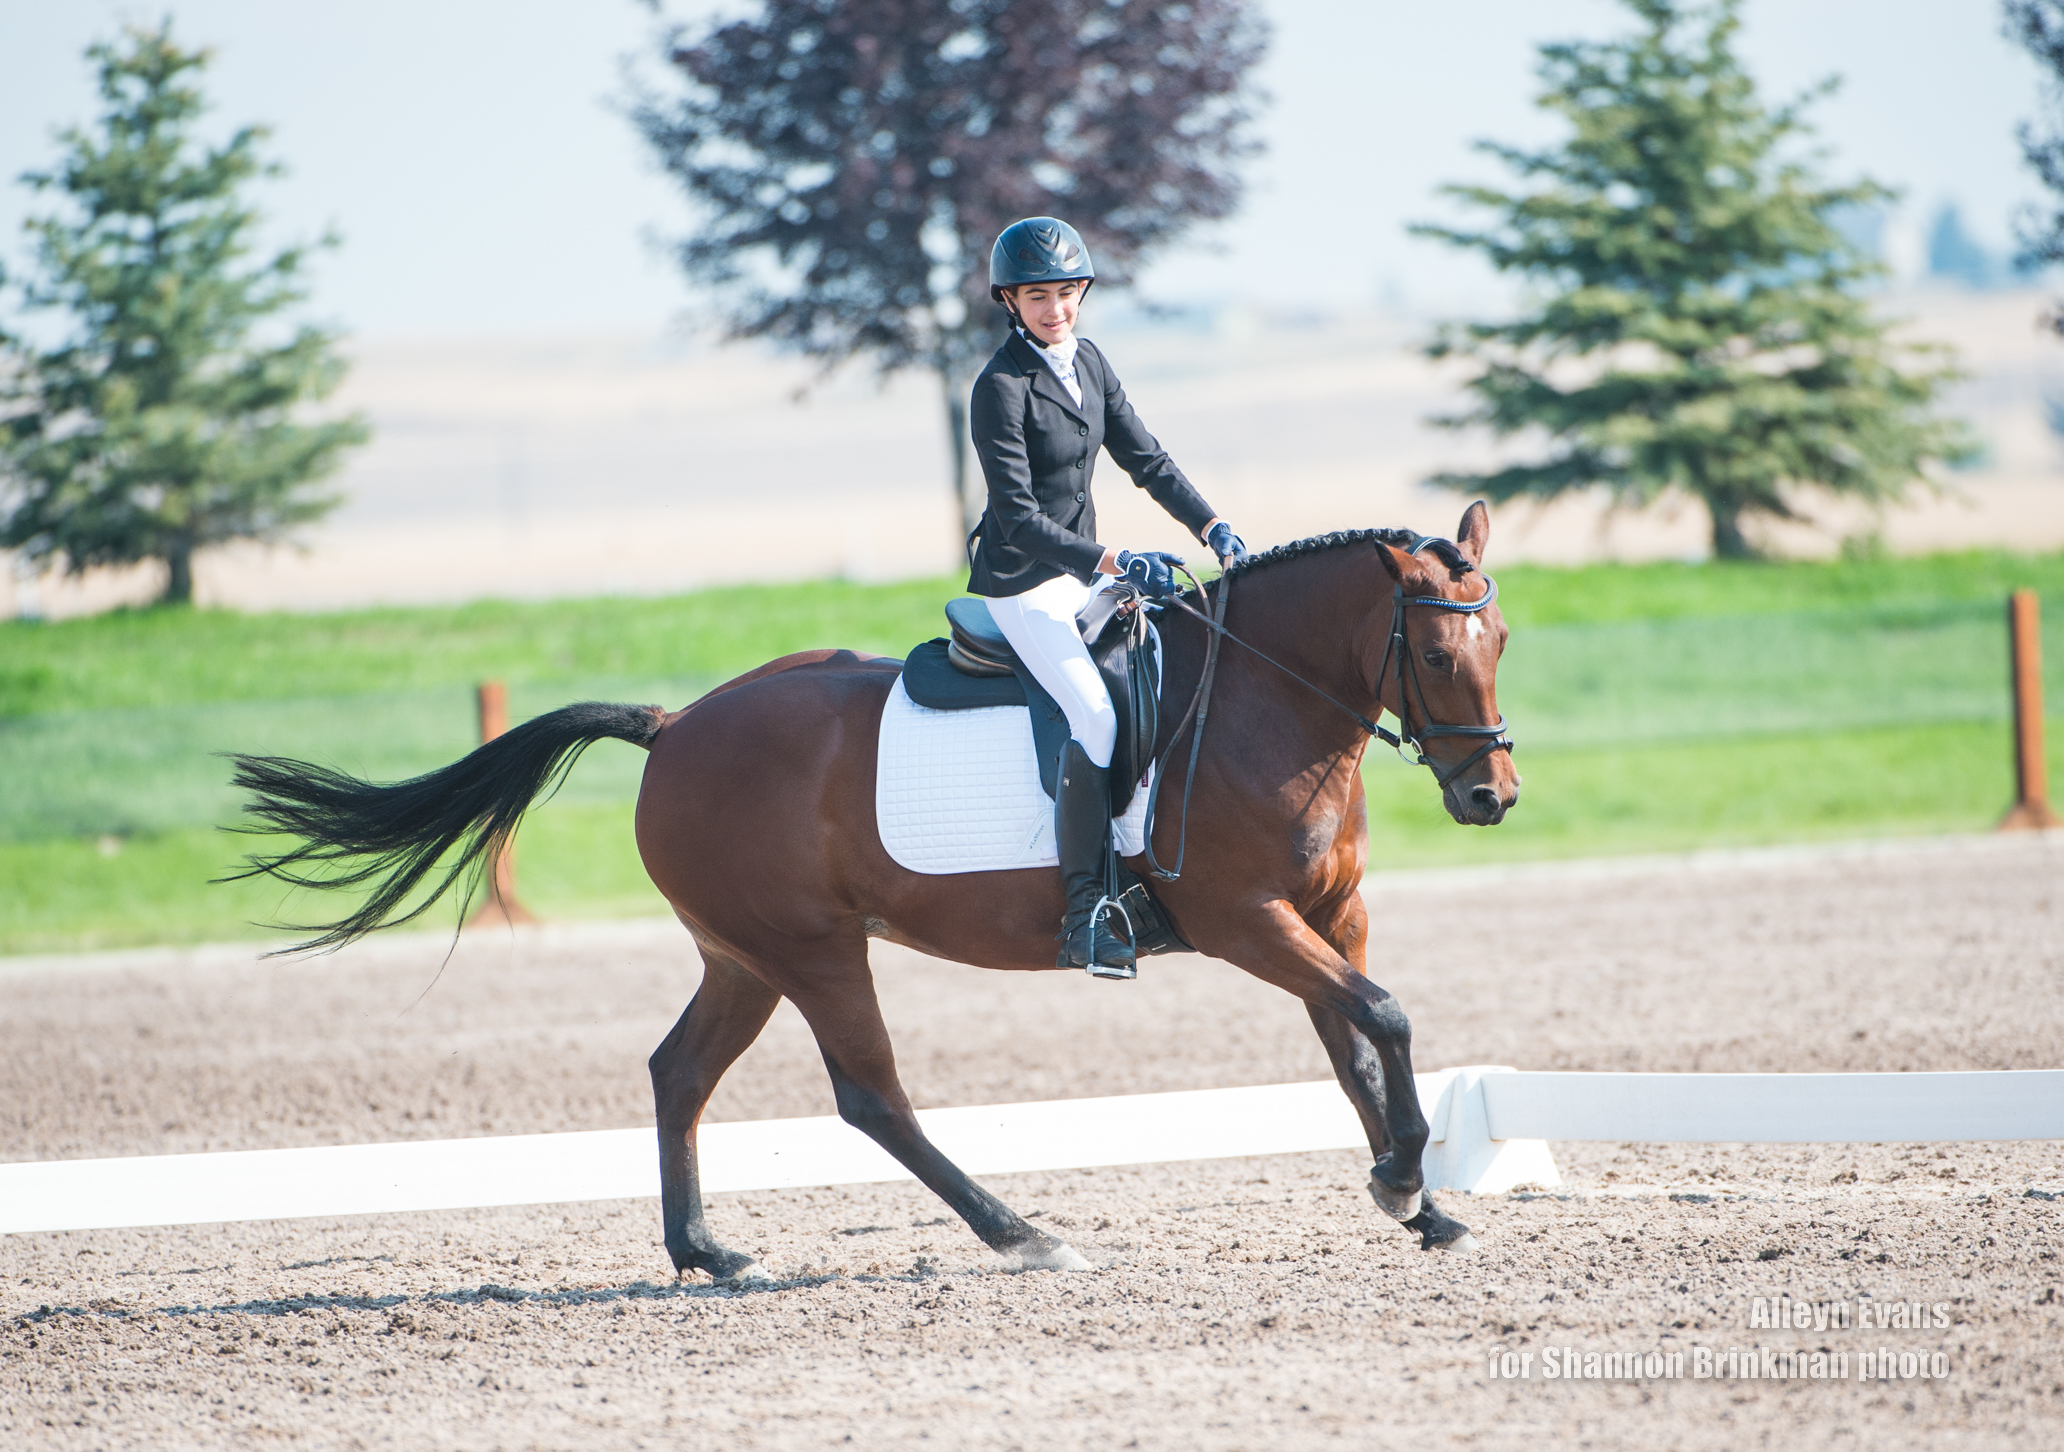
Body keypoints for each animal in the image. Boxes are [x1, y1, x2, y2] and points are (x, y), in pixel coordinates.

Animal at [230, 501, 1519, 1280]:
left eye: (1499, 639)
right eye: (1435, 652)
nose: (1491, 796)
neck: (1262, 701)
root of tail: (676, 727)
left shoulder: (1328, 914)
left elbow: (1357, 1044)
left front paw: (1418, 1198)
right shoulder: (1246, 920)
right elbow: (1386, 1015)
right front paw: (1407, 1178)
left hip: (743, 957)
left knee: (679, 1071)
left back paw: (707, 1254)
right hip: (813, 950)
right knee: (871, 1096)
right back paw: (1023, 1236)